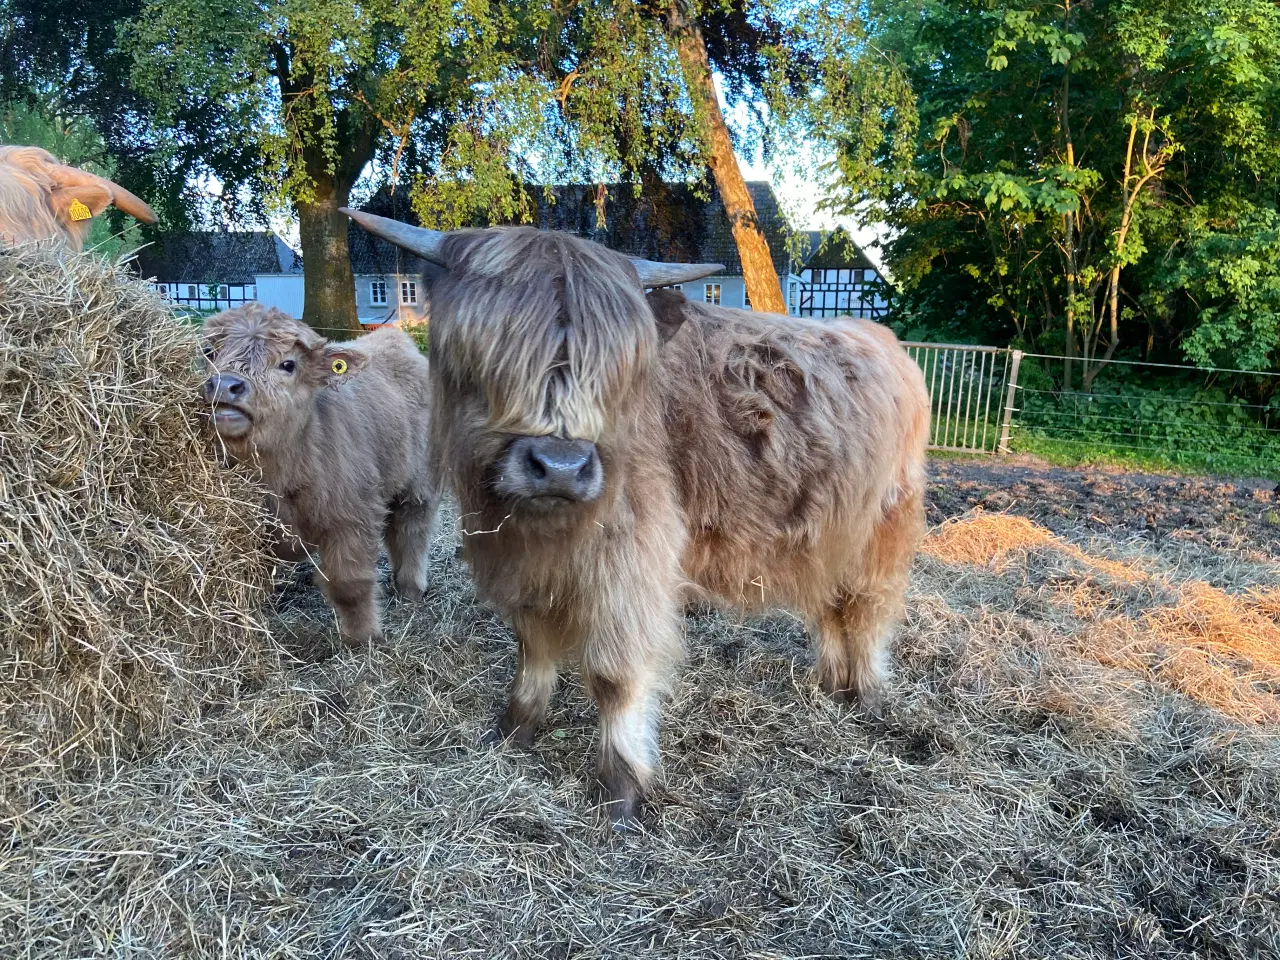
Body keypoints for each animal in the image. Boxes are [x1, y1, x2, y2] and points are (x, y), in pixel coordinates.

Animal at [200, 302, 440, 647]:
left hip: (419, 480)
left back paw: (410, 588)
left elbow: (348, 584)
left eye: (288, 364)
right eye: (210, 353)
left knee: (412, 528)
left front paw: (363, 637)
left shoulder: (351, 518)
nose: (225, 385)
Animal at [345, 213, 931, 829]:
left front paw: (620, 789)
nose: (560, 466)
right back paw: (832, 684)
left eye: (615, 368)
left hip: (884, 526)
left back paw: (867, 694)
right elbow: (532, 647)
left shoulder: (630, 565)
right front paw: (513, 731)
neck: (541, 530)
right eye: (490, 351)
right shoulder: (523, 563)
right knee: (832, 603)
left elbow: (615, 676)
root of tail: (881, 340)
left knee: (868, 607)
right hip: (828, 533)